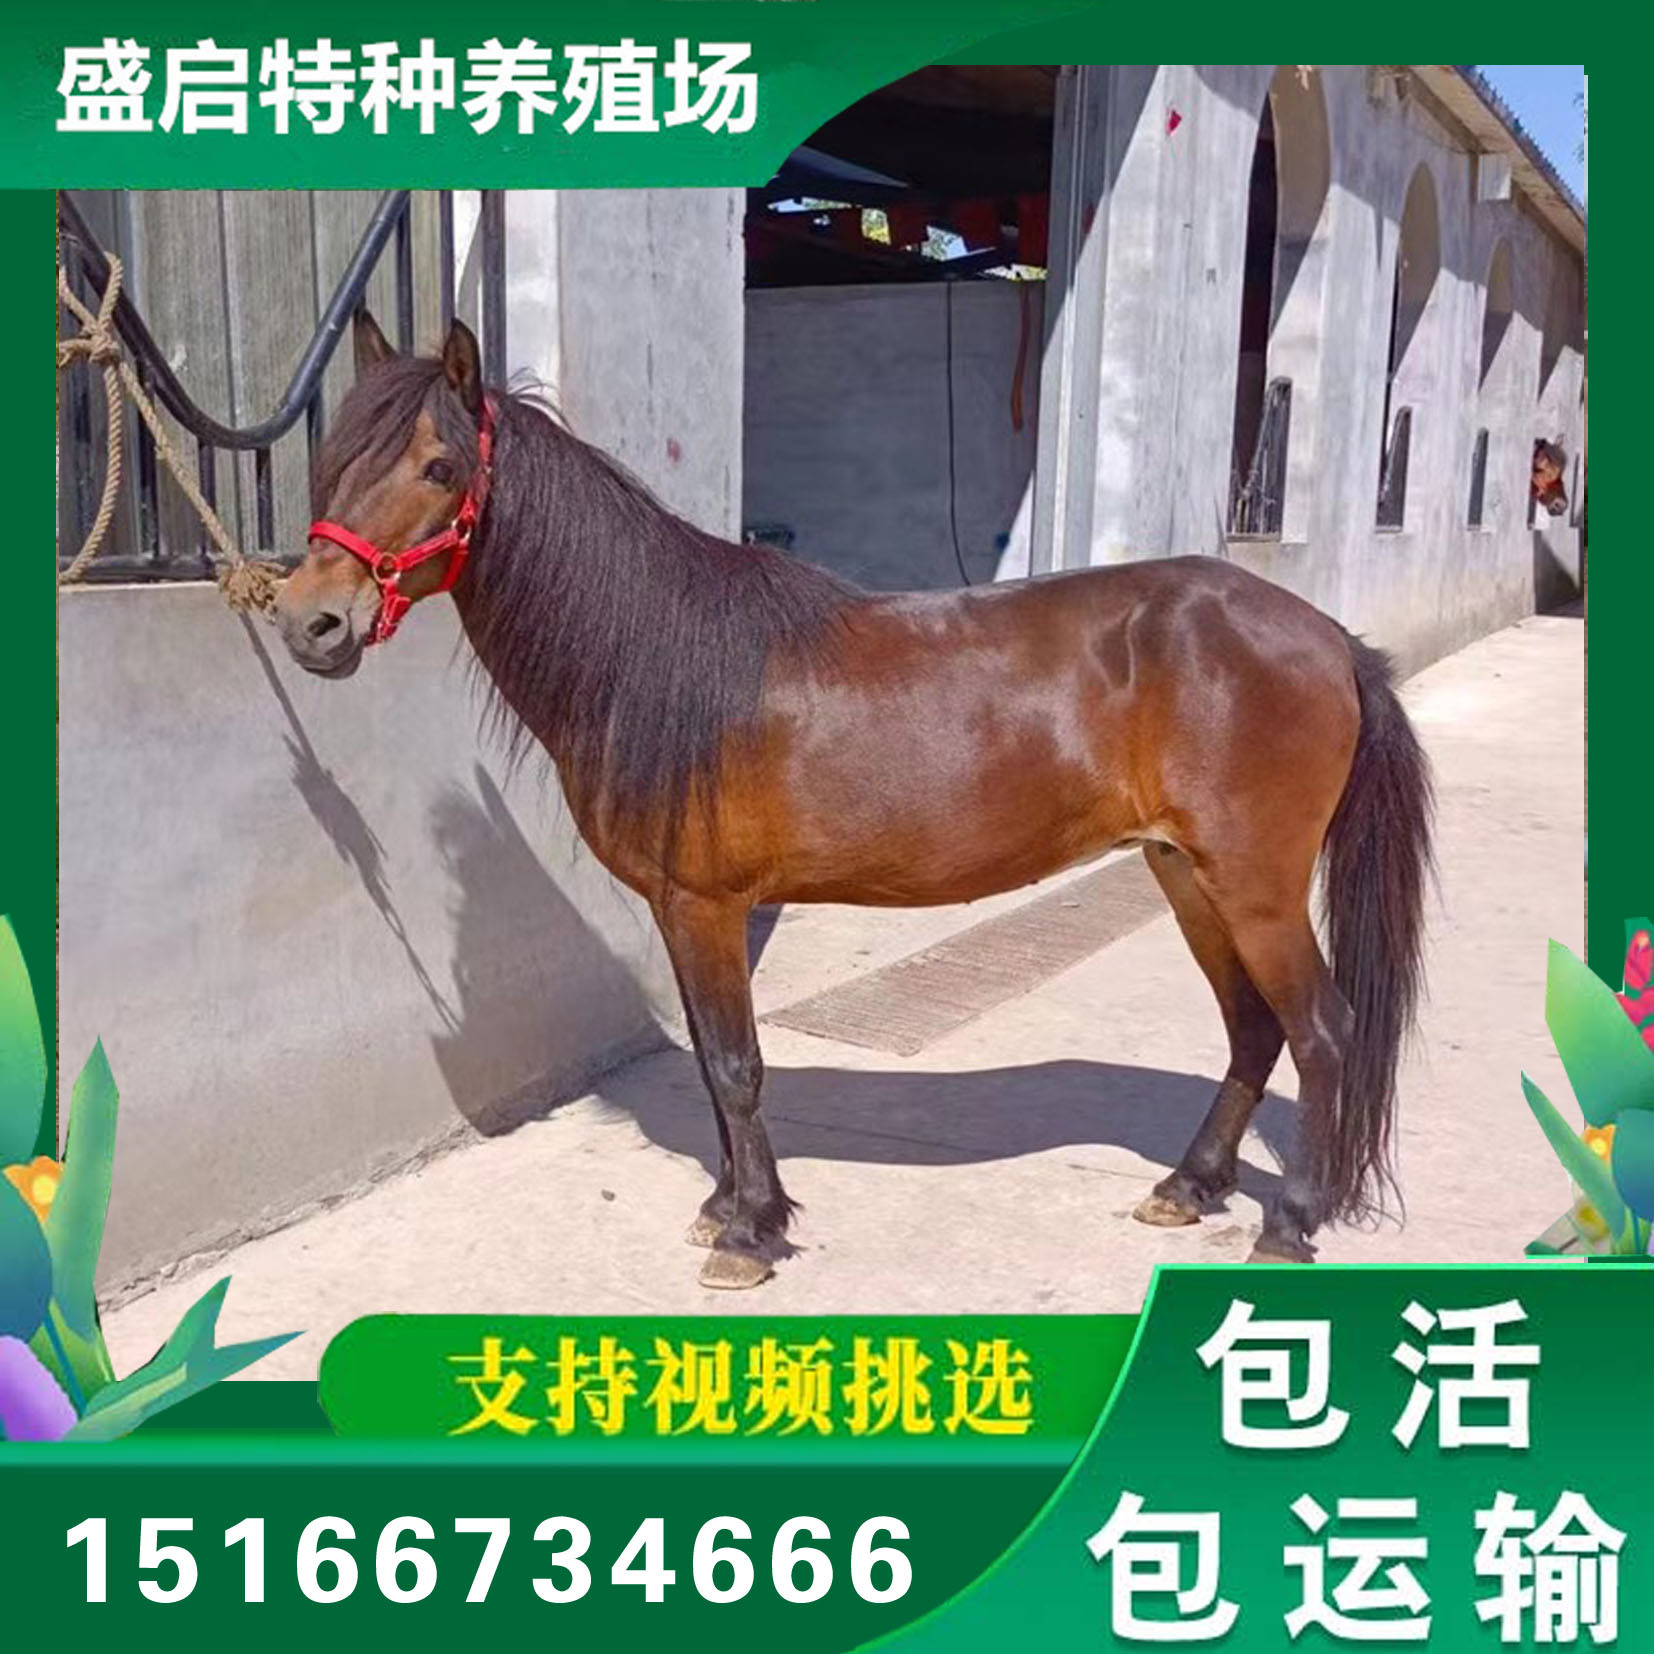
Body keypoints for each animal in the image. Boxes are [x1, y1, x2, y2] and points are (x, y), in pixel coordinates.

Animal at [274, 312, 1433, 1289]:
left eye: (438, 467)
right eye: (335, 462)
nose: (310, 621)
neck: (655, 654)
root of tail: (1326, 639)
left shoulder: (706, 906)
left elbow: (736, 1064)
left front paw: (749, 1236)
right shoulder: (680, 911)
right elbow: (715, 1069)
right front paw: (731, 1206)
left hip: (1255, 887)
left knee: (1320, 1030)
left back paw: (1287, 1223)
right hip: (1186, 874)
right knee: (1251, 1030)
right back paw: (1187, 1188)